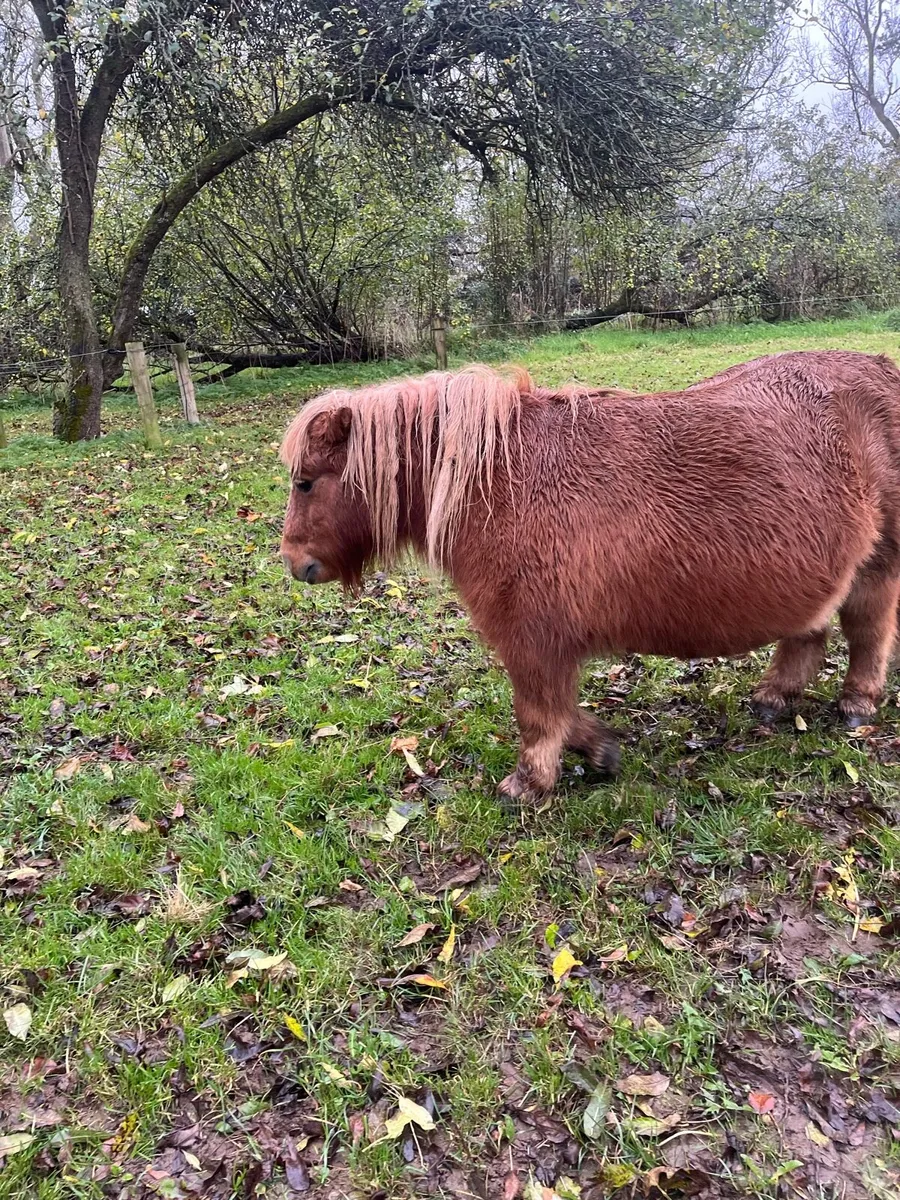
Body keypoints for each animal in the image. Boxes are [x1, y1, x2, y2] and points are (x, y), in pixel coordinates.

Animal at [280, 359, 900, 802]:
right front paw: (601, 751)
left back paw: (857, 704)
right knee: (810, 632)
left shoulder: (531, 638)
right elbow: (559, 712)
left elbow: (537, 713)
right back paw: (774, 698)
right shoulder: (545, 641)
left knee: (868, 629)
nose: (294, 563)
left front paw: (528, 784)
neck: (500, 482)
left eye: (306, 482)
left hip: (879, 563)